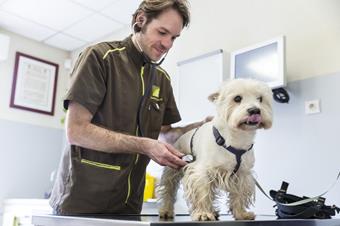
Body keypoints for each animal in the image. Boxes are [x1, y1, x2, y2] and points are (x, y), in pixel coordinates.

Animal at [157, 79, 274, 221]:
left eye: (260, 99)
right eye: (237, 98)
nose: (255, 110)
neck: (235, 139)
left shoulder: (242, 174)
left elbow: (239, 194)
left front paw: (241, 213)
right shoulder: (201, 172)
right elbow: (202, 193)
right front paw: (203, 213)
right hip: (172, 169)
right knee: (169, 190)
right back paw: (166, 210)